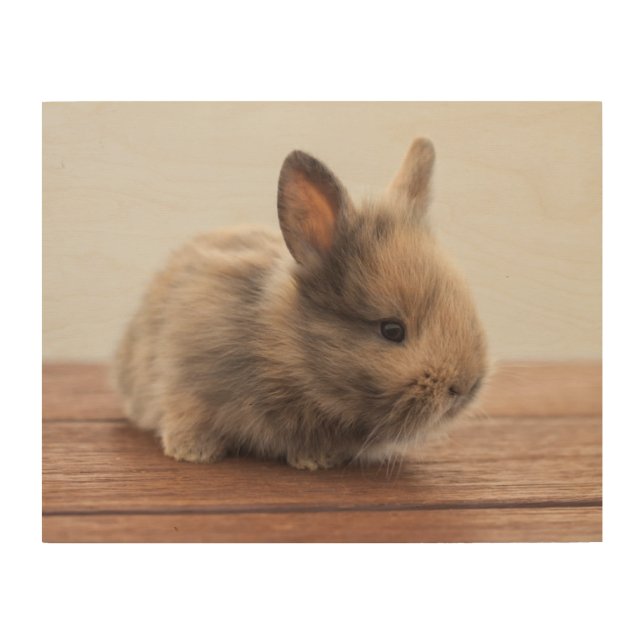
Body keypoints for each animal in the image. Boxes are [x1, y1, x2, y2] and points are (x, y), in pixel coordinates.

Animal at [113, 138, 487, 470]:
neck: (283, 353)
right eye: (392, 330)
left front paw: (316, 460)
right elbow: (186, 413)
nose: (464, 387)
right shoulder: (185, 378)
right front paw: (192, 452)